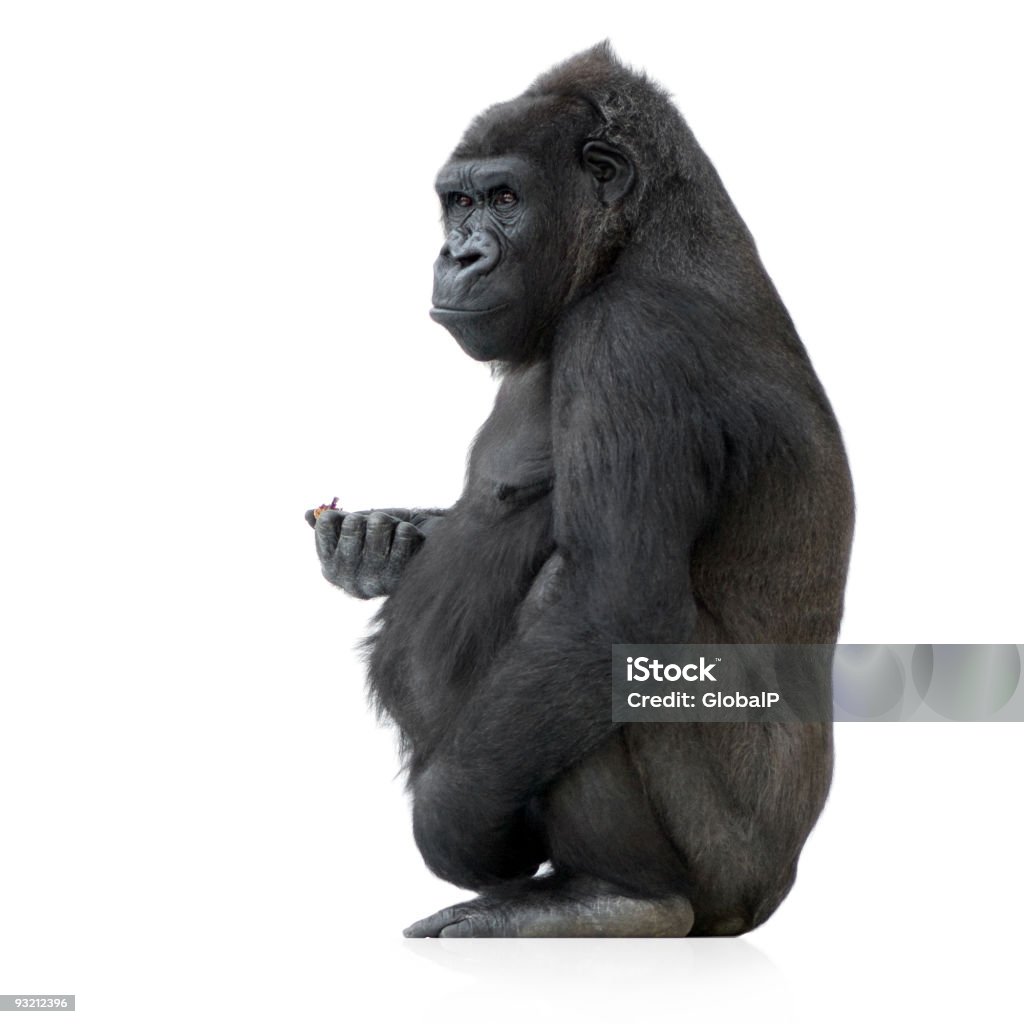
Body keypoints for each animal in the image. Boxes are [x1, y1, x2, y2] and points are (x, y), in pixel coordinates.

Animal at [305, 41, 856, 937]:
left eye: (504, 198)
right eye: (457, 203)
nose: (458, 255)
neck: (636, 239)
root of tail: (778, 887)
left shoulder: (633, 341)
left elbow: (612, 610)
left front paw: (451, 826)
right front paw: (374, 547)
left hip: (735, 863)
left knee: (576, 606)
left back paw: (615, 897)